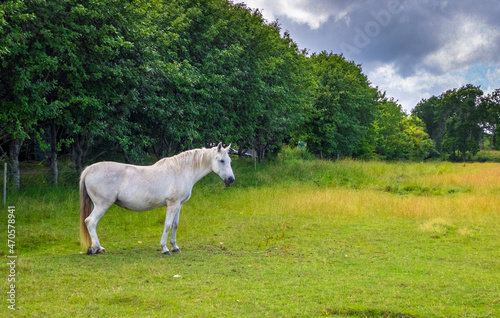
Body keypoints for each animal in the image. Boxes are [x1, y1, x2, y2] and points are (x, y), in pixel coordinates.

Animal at [79, 143, 235, 255]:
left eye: (230, 160)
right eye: (221, 160)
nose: (231, 179)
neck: (181, 171)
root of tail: (89, 169)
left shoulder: (178, 204)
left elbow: (175, 225)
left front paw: (175, 247)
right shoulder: (172, 204)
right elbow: (167, 225)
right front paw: (164, 248)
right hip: (102, 205)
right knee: (90, 222)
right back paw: (97, 248)